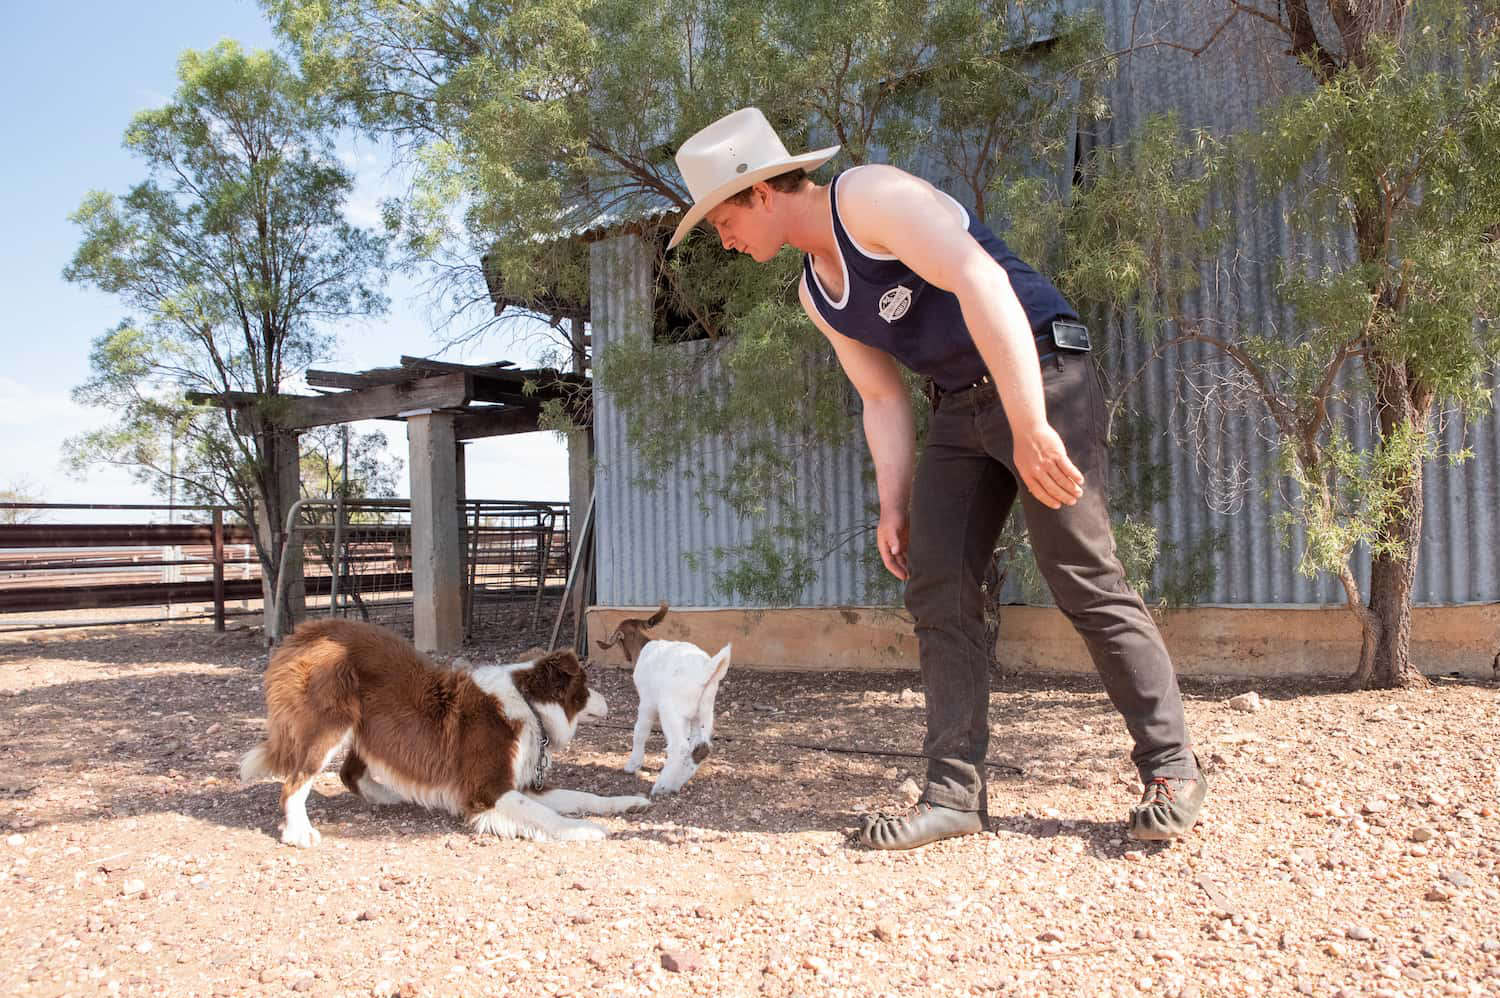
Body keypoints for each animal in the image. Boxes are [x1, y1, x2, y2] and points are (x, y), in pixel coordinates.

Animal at [240, 618, 651, 846]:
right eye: (586, 687)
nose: (610, 702)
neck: (528, 703)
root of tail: (304, 632)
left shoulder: (524, 784)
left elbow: (584, 795)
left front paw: (627, 802)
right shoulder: (488, 789)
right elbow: (544, 815)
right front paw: (584, 829)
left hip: (370, 726)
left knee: (349, 772)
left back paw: (389, 795)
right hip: (330, 724)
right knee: (294, 784)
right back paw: (299, 833)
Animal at [600, 603, 735, 798]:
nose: (626, 656)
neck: (642, 649)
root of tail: (706, 670)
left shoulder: (647, 702)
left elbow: (640, 731)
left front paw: (632, 765)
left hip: (671, 710)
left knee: (680, 746)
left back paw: (662, 786)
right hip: (704, 712)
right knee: (699, 746)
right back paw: (676, 783)